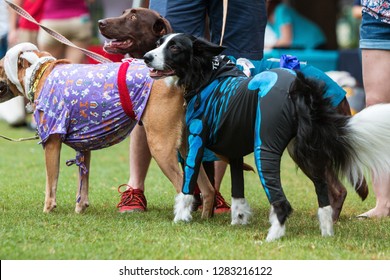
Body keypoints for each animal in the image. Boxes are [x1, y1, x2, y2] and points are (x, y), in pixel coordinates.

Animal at [144, 34, 390, 242]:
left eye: (175, 47)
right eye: (159, 42)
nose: (147, 57)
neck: (209, 76)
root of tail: (300, 86)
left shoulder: (195, 141)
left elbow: (186, 187)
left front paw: (180, 218)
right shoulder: (234, 152)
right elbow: (238, 194)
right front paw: (238, 222)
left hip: (267, 147)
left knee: (283, 203)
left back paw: (273, 237)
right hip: (307, 153)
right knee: (326, 195)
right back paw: (327, 231)